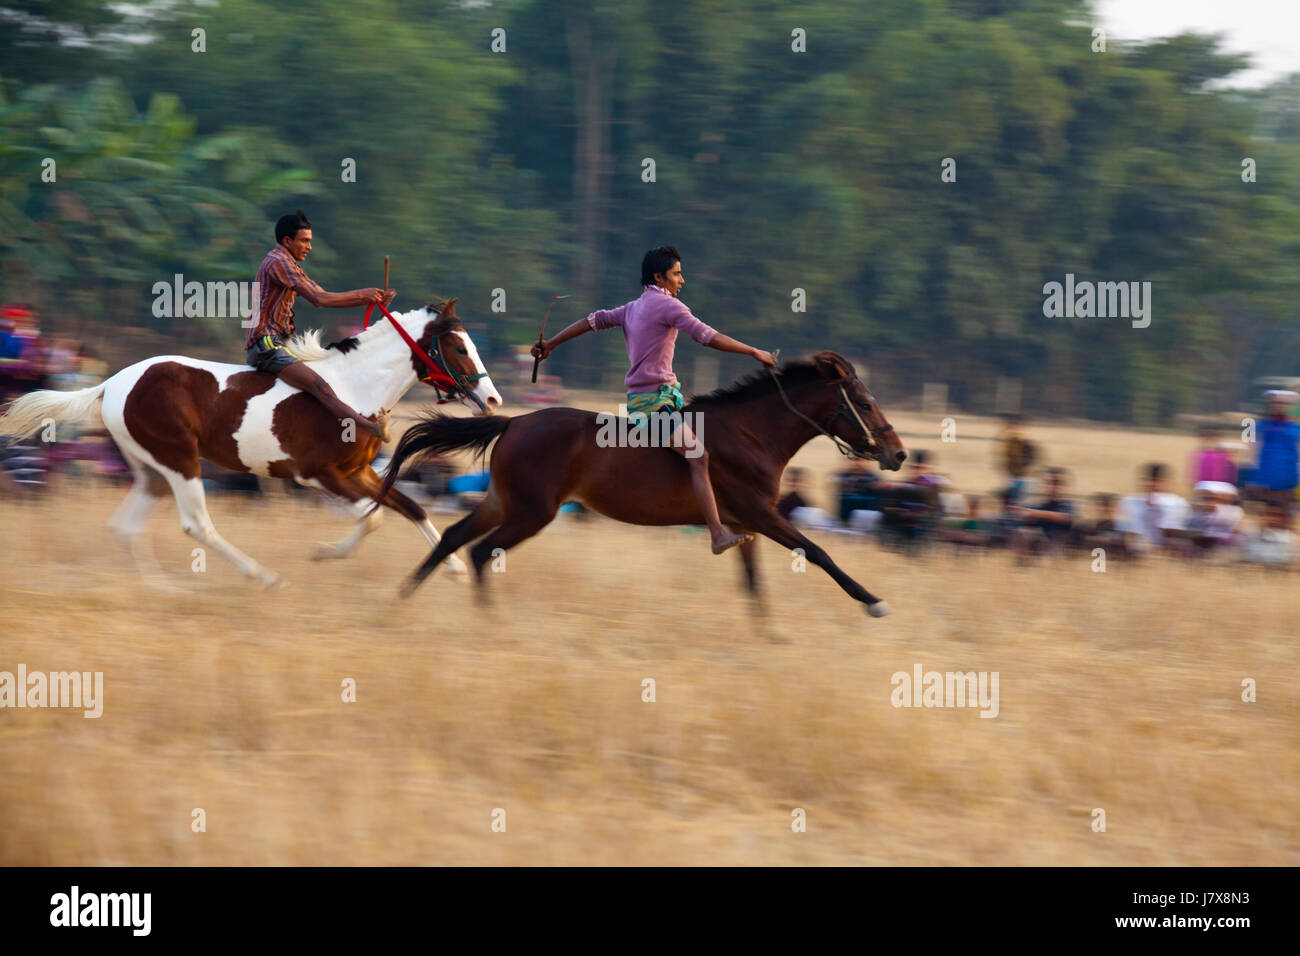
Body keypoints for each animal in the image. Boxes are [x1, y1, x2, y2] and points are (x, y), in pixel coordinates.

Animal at [0, 299, 501, 587]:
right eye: (459, 347)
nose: (493, 399)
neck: (353, 391)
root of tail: (111, 383)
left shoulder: (358, 472)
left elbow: (409, 507)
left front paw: (454, 567)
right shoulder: (318, 475)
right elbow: (372, 518)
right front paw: (324, 552)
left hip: (151, 470)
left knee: (125, 526)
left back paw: (161, 587)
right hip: (179, 460)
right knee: (196, 524)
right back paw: (262, 575)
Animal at [377, 356, 904, 616]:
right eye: (863, 402)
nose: (897, 453)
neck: (752, 433)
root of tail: (514, 423)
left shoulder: (746, 522)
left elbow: (753, 580)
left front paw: (769, 635)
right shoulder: (759, 513)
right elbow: (817, 551)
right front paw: (874, 602)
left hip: (502, 502)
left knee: (452, 537)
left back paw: (401, 599)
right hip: (532, 512)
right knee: (482, 552)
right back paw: (489, 620)